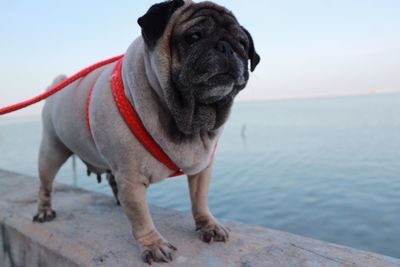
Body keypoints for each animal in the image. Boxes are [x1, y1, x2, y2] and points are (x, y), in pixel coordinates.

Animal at [33, 0, 260, 264]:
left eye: (242, 44)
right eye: (194, 37)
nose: (226, 47)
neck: (185, 120)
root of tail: (56, 87)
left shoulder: (202, 168)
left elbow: (200, 200)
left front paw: (208, 225)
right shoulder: (131, 178)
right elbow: (140, 216)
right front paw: (153, 245)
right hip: (52, 150)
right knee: (45, 185)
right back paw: (44, 212)